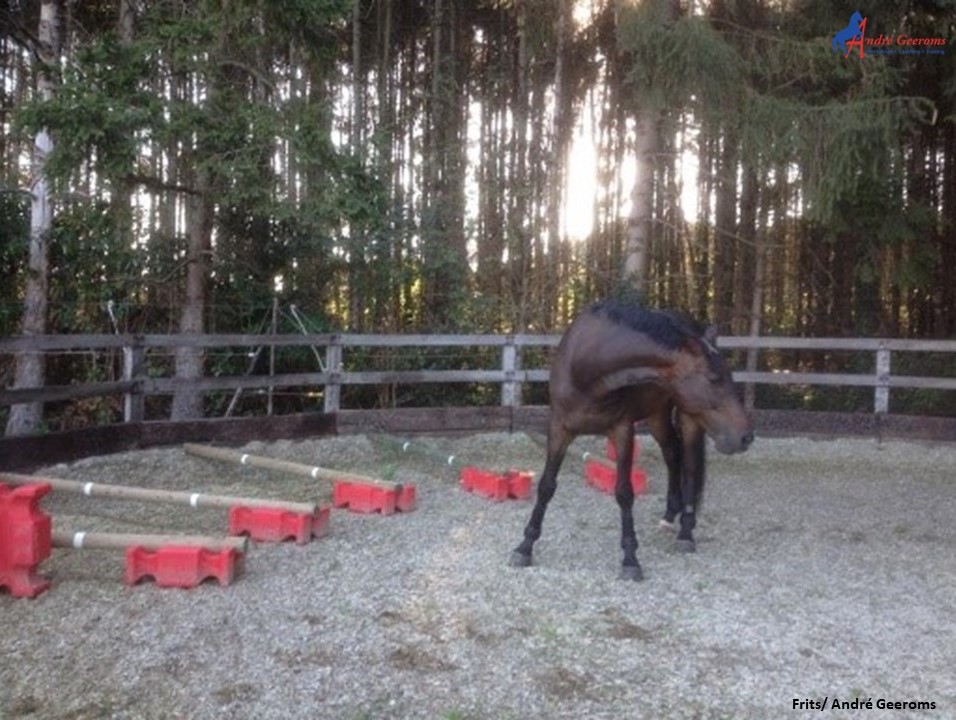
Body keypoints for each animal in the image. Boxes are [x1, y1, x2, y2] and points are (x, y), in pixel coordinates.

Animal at [512, 300, 752, 584]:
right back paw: (670, 514)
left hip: (689, 418)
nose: (745, 436)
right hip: (658, 415)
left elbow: (625, 493)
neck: (586, 366)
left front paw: (630, 558)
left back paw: (685, 532)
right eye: (713, 379)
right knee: (673, 453)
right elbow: (546, 486)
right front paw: (525, 546)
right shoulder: (559, 429)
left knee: (691, 467)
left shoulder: (622, 431)